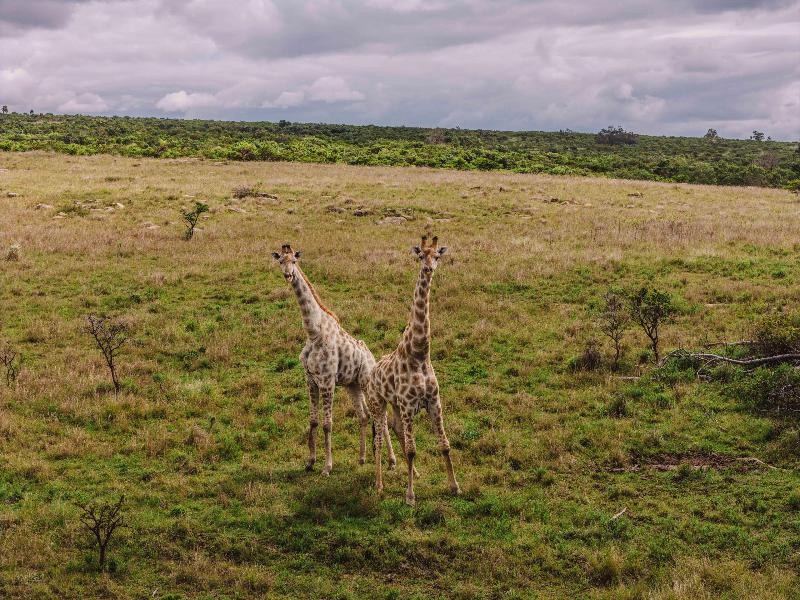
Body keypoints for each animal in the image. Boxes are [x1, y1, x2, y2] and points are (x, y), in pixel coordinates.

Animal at [272, 244, 396, 475]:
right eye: (280, 261)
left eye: (294, 260)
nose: (288, 275)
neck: (313, 332)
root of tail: (372, 357)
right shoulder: (311, 380)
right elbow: (313, 421)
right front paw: (310, 462)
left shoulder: (327, 381)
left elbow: (327, 424)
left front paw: (327, 467)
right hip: (352, 385)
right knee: (364, 415)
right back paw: (362, 458)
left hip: (366, 382)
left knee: (381, 418)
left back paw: (392, 461)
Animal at [366, 235, 460, 506]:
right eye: (420, 255)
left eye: (437, 256)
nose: (429, 269)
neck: (419, 352)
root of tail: (371, 373)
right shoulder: (409, 406)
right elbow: (411, 449)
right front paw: (409, 496)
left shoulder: (434, 402)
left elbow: (445, 445)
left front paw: (455, 486)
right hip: (378, 403)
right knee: (379, 437)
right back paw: (379, 484)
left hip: (396, 406)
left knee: (396, 428)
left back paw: (415, 473)